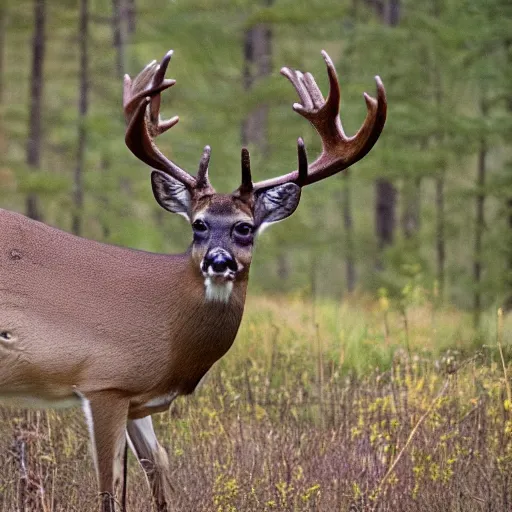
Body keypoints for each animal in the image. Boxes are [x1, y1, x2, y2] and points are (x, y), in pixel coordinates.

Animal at [0, 49, 384, 512]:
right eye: (198, 224)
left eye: (244, 228)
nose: (218, 262)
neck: (169, 330)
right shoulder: (103, 381)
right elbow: (110, 489)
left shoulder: (138, 401)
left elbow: (160, 474)